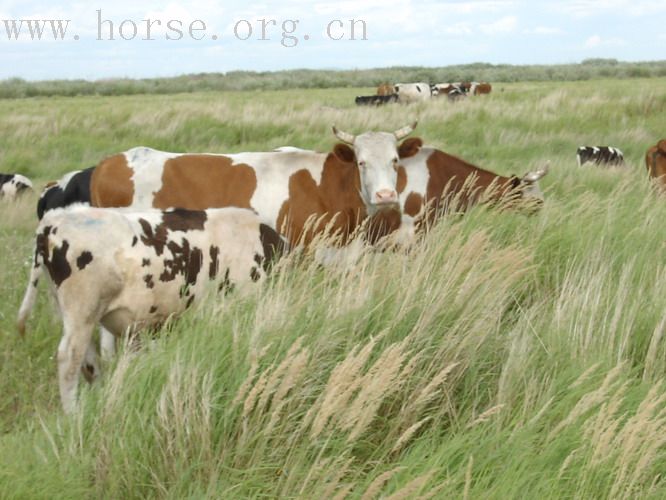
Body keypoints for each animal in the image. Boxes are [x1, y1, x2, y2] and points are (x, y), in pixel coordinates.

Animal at [17, 205, 286, 412]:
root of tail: (53, 221)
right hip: (82, 309)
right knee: (69, 358)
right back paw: (73, 414)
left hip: (74, 314)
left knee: (87, 359)